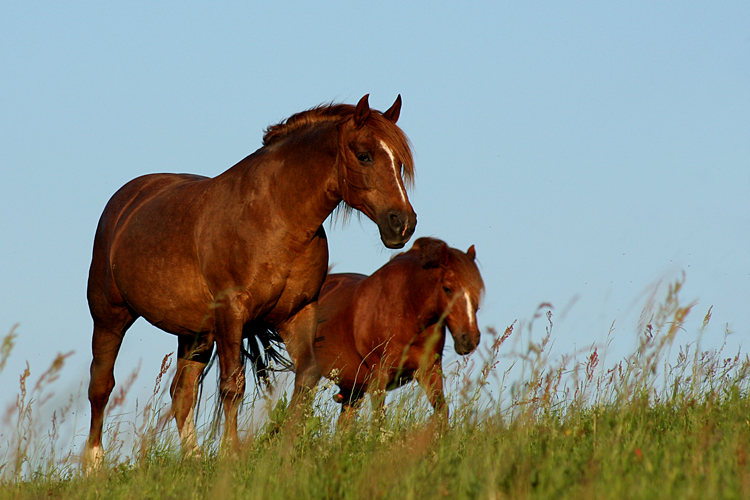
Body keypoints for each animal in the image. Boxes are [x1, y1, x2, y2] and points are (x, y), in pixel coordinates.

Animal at [85, 94, 420, 464]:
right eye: (364, 155)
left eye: (399, 163)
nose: (402, 223)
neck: (275, 216)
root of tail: (126, 200)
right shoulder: (232, 312)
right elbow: (233, 385)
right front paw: (229, 456)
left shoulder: (298, 312)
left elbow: (306, 378)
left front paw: (286, 451)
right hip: (110, 316)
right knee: (101, 386)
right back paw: (94, 465)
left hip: (194, 333)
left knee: (182, 392)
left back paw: (194, 459)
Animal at [314, 238, 484, 426]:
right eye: (447, 289)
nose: (469, 340)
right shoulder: (379, 376)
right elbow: (379, 420)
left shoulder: (429, 371)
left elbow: (441, 411)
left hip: (352, 390)